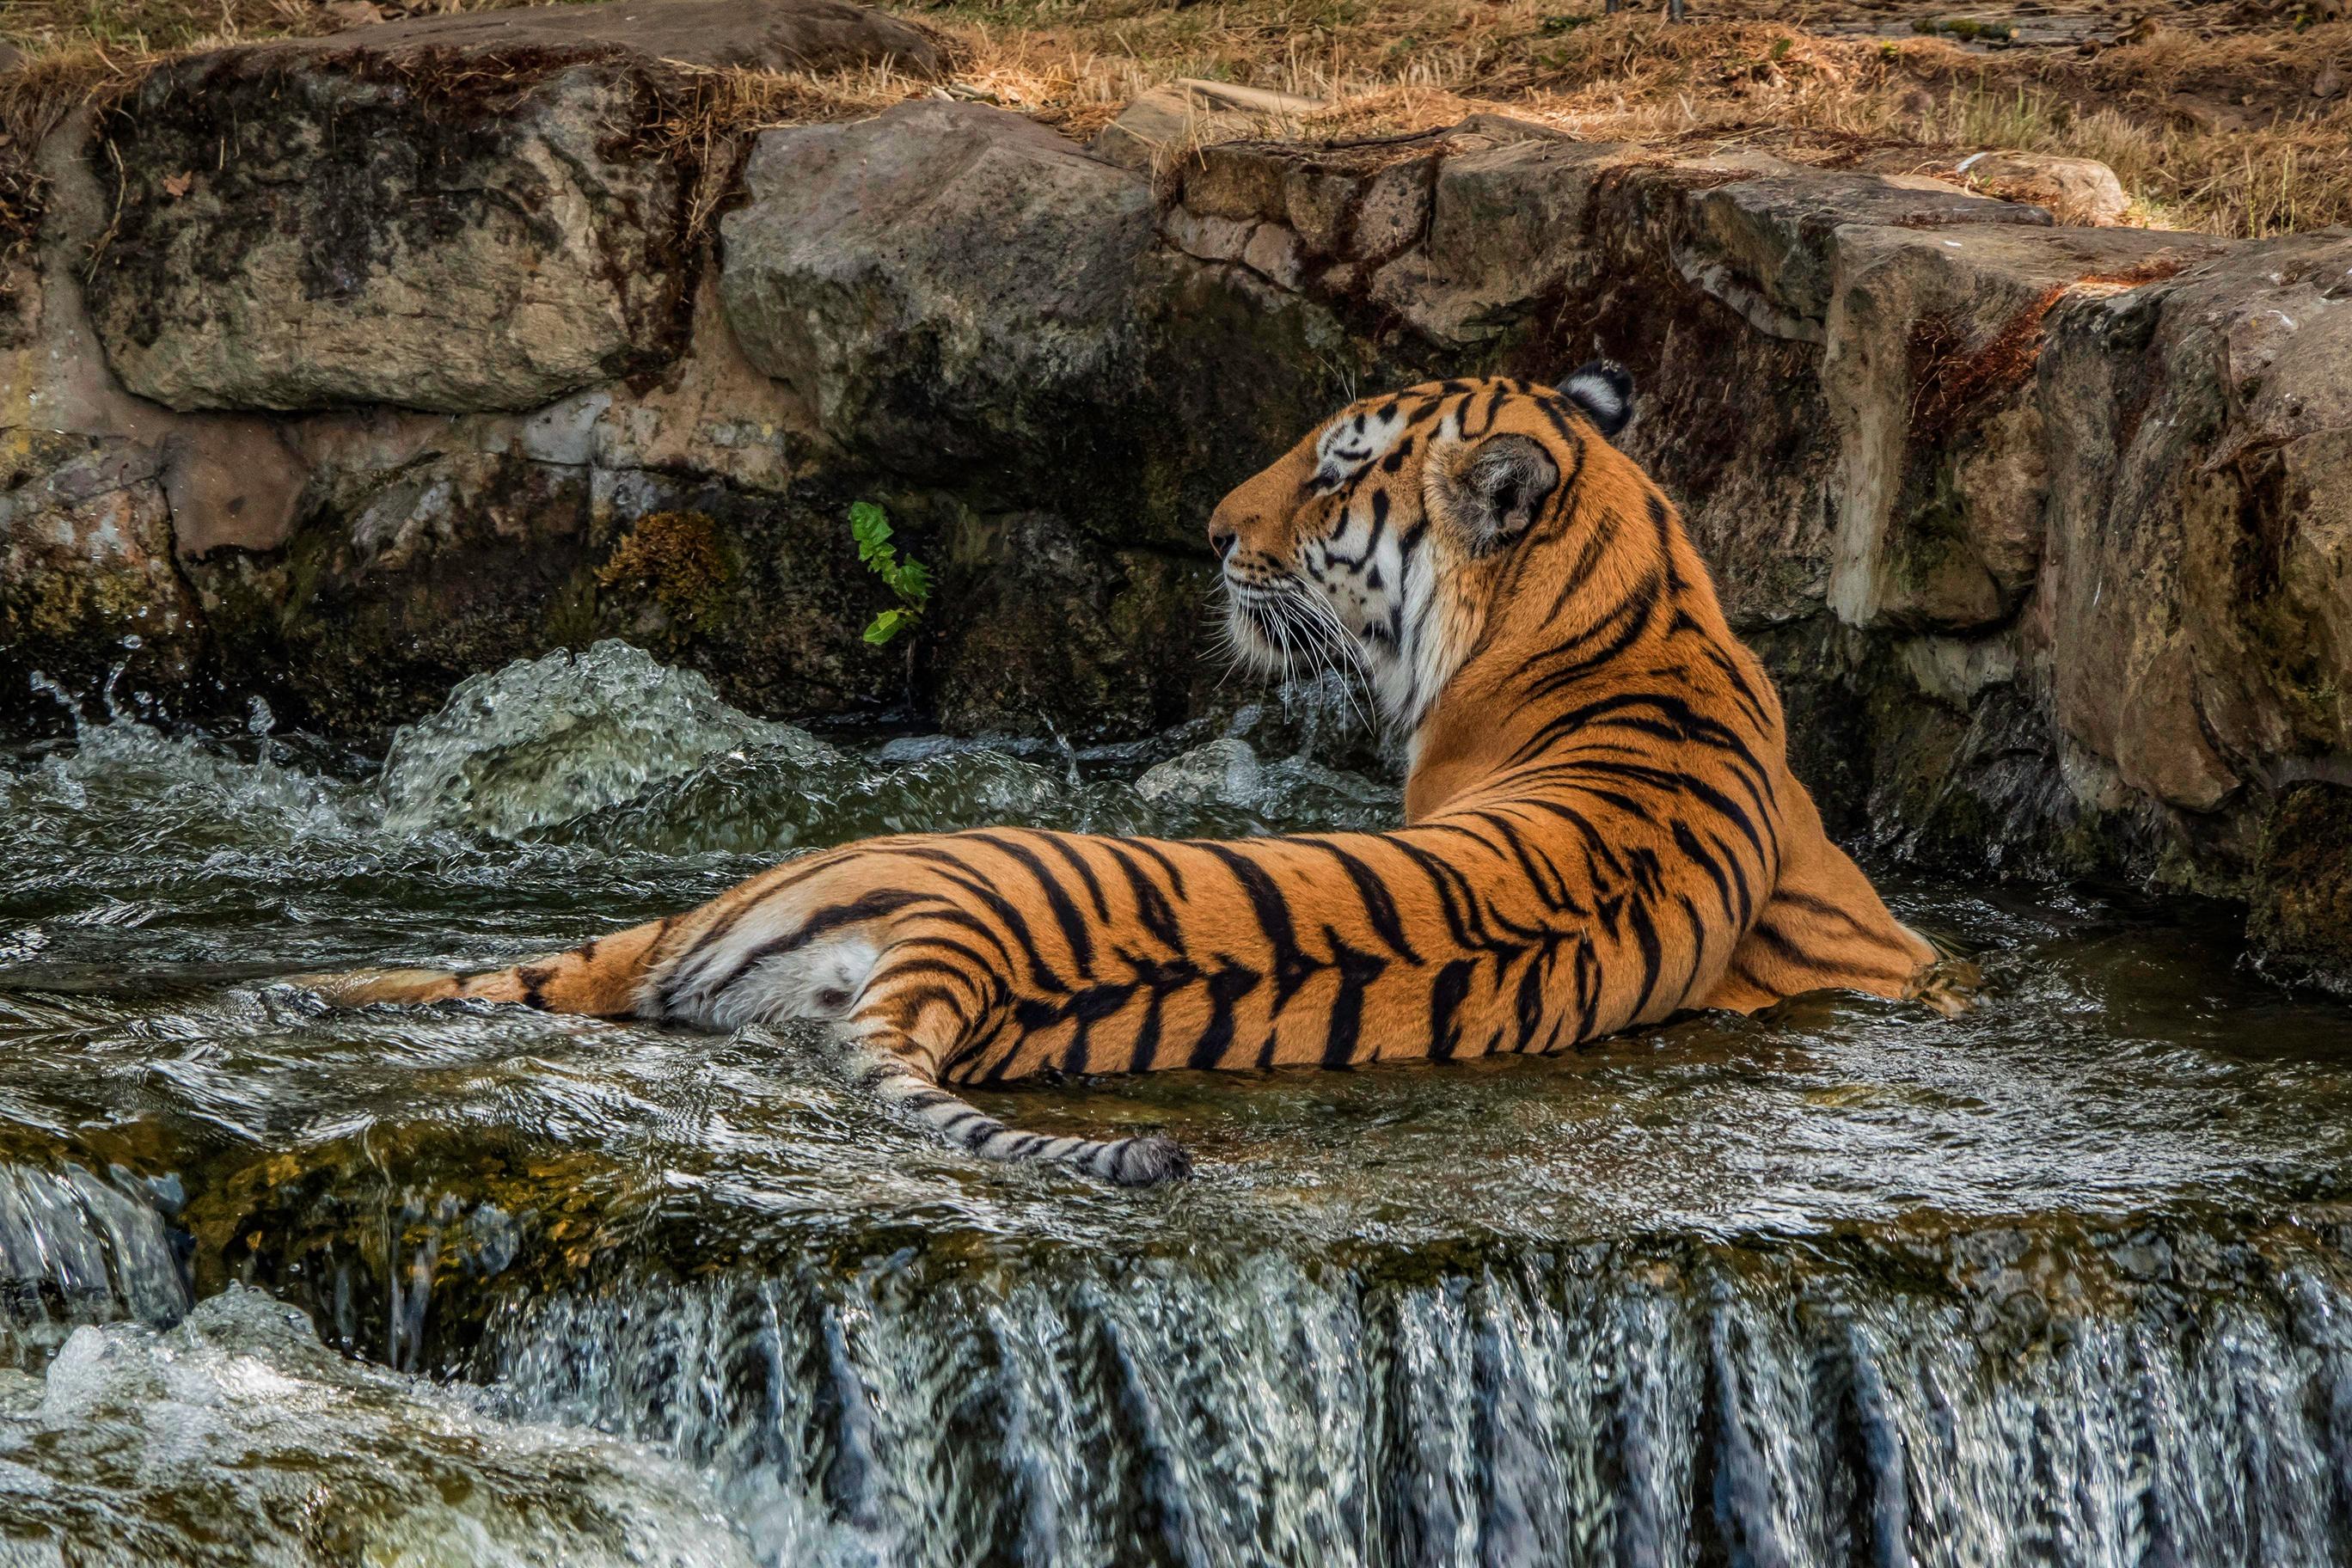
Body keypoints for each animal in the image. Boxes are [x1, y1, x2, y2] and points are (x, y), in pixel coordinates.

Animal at [311, 366, 1946, 1185]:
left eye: (1338, 467)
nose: (1214, 532)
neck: (1636, 599)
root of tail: (958, 956)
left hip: (734, 900)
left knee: (518, 973)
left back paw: (313, 991)